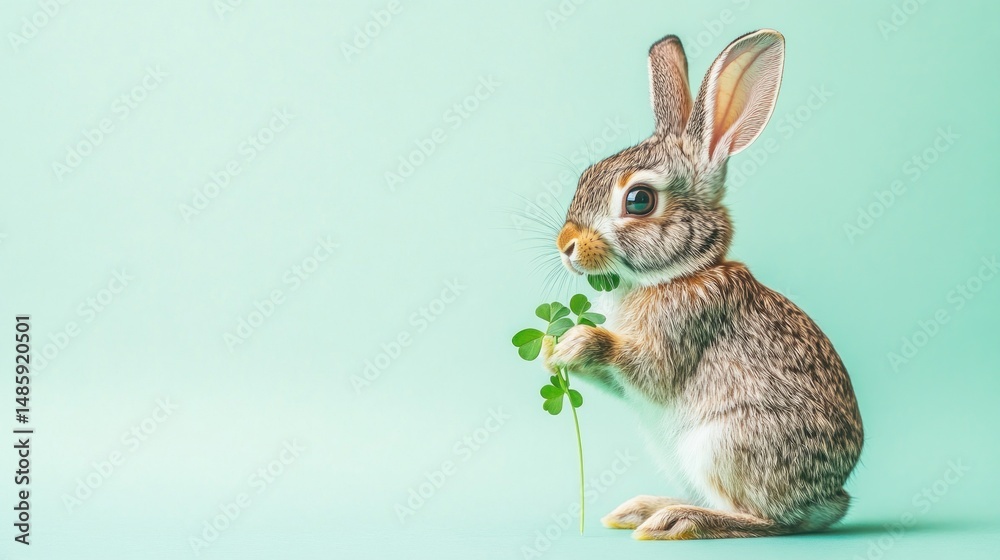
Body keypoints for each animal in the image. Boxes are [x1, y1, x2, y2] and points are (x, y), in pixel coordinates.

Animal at [542, 29, 863, 540]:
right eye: (584, 176)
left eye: (639, 200)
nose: (566, 244)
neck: (677, 274)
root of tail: (829, 500)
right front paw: (553, 350)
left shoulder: (683, 331)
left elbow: (644, 368)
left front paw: (582, 340)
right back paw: (644, 508)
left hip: (724, 447)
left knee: (768, 521)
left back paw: (678, 519)